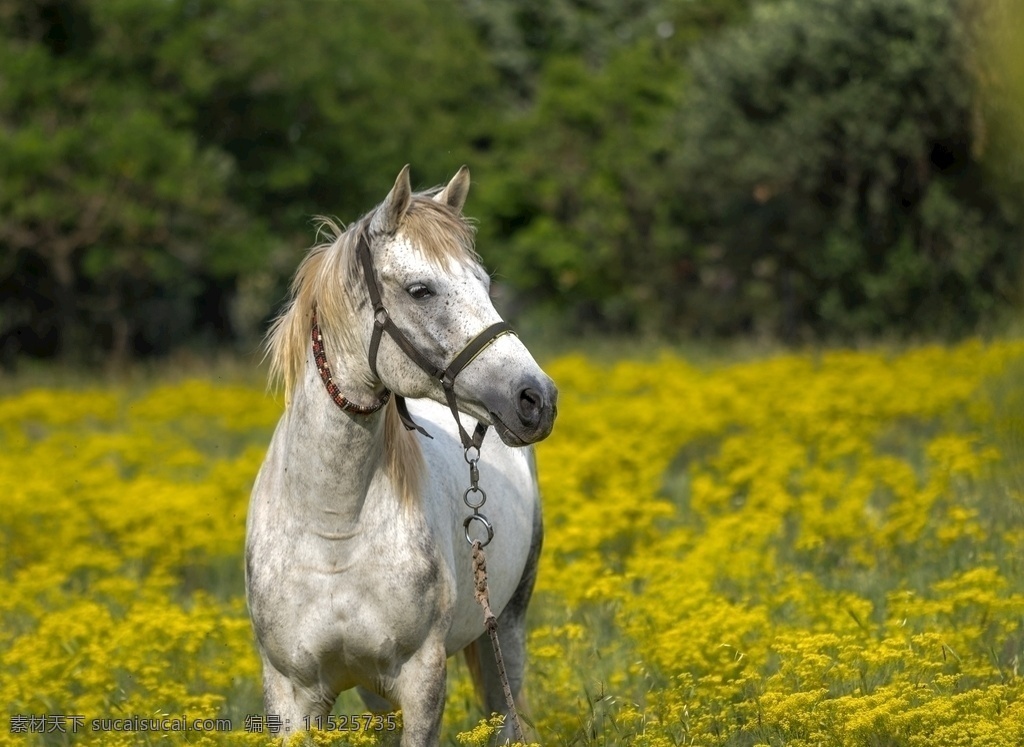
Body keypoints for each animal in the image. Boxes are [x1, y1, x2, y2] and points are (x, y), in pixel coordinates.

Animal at [244, 166, 557, 741]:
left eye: (484, 284)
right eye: (420, 289)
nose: (537, 398)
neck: (334, 528)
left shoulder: (421, 681)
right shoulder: (291, 694)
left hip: (506, 629)